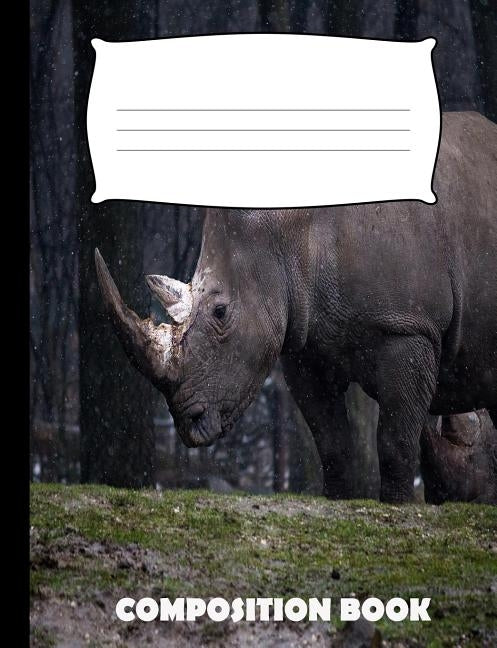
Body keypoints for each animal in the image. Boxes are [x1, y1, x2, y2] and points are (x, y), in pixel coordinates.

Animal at [95, 111, 497, 503]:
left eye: (221, 312)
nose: (188, 423)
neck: (285, 229)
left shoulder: (407, 326)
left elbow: (395, 444)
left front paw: (398, 508)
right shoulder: (307, 343)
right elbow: (332, 444)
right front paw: (339, 502)